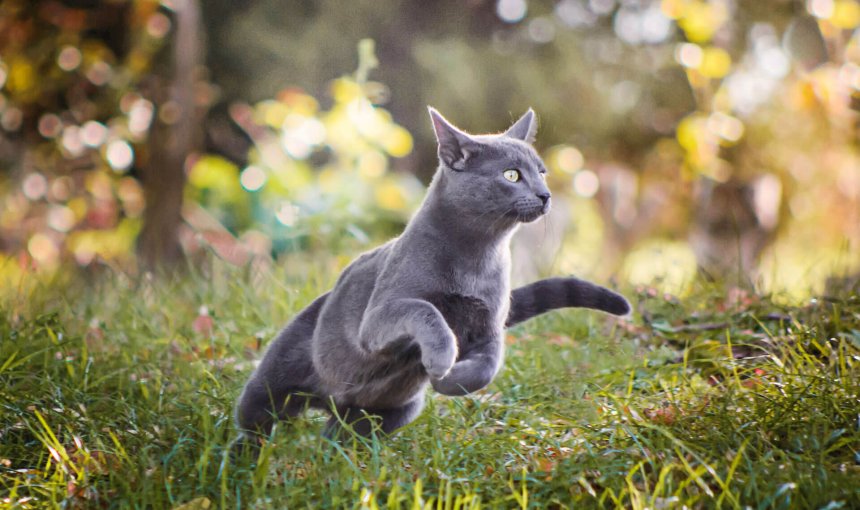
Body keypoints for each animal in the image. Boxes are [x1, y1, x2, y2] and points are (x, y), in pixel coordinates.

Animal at [235, 108, 632, 442]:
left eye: (542, 172)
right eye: (512, 174)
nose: (545, 194)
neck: (475, 256)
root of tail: (329, 400)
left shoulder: (488, 327)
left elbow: (489, 365)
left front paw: (450, 381)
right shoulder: (378, 318)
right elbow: (424, 309)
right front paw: (441, 359)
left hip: (386, 412)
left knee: (341, 436)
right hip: (274, 379)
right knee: (256, 416)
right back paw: (249, 453)